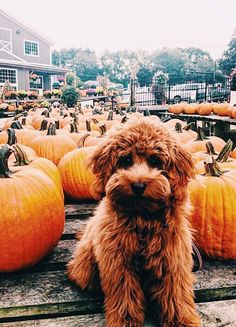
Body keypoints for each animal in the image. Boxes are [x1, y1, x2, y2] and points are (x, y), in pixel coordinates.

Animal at [67, 118, 201, 327]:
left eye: (154, 161)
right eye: (126, 160)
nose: (138, 185)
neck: (141, 219)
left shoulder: (172, 259)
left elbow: (175, 294)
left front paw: (182, 320)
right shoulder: (118, 262)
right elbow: (125, 294)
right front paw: (125, 320)